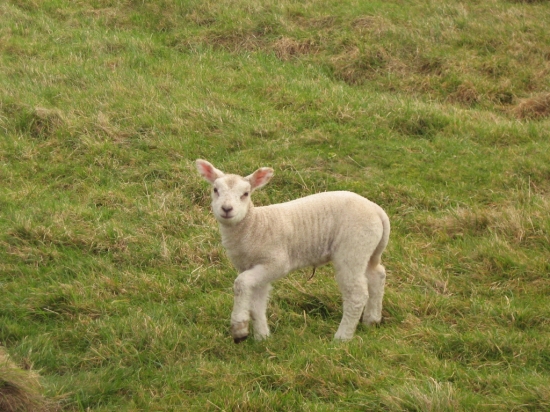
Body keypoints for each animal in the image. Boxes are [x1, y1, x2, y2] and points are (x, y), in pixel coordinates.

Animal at [196, 158, 390, 342]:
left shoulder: (276, 262)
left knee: (357, 294)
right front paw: (262, 337)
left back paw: (342, 337)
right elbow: (257, 303)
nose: (226, 209)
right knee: (377, 274)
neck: (255, 225)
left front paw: (239, 329)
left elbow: (241, 283)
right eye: (215, 190)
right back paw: (372, 320)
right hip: (367, 248)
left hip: (352, 247)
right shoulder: (254, 267)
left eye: (245, 194)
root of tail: (377, 211)